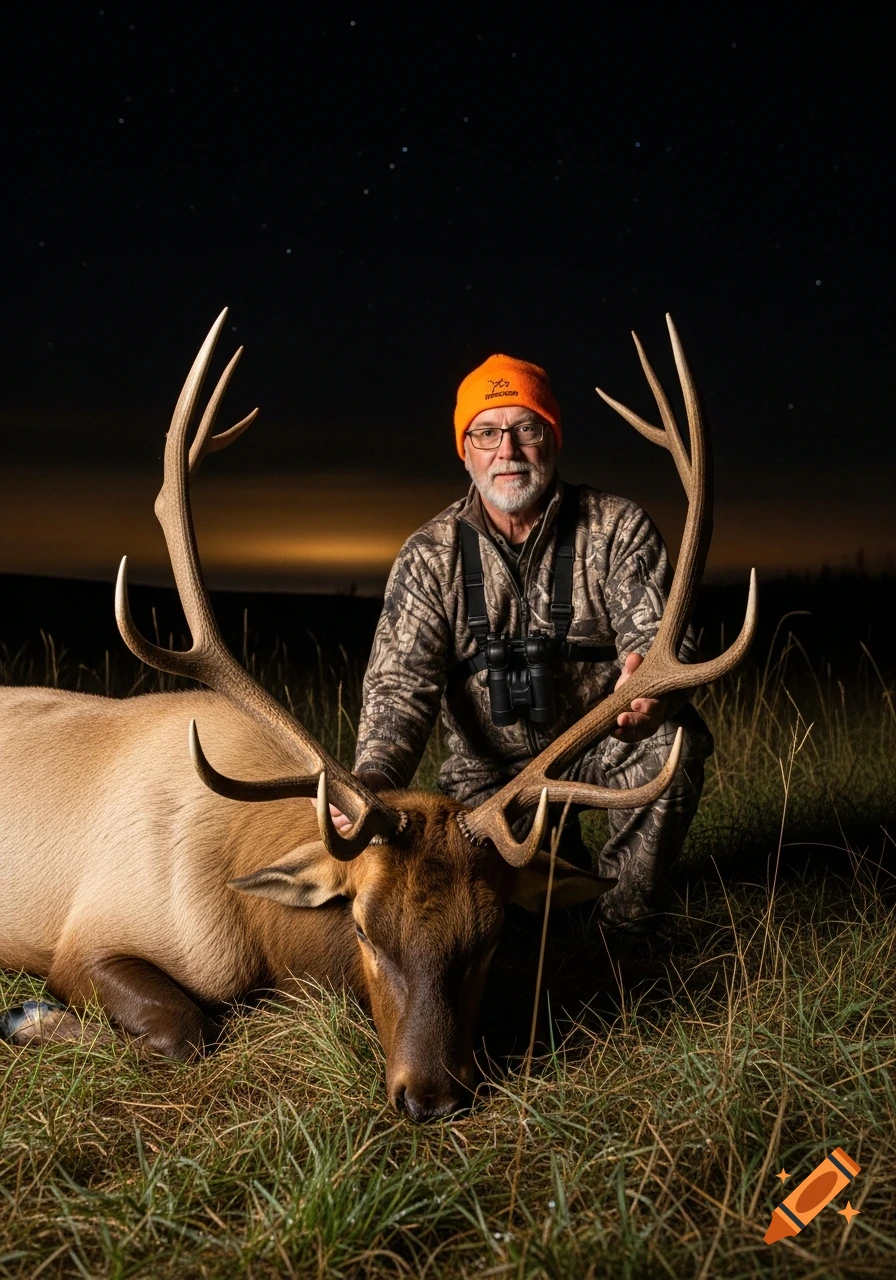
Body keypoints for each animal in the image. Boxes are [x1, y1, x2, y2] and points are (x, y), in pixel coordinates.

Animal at [0, 312, 756, 1121]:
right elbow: (183, 1026)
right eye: (361, 927)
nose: (430, 1095)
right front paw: (29, 1017)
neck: (247, 920)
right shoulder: (90, 931)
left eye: (492, 934)